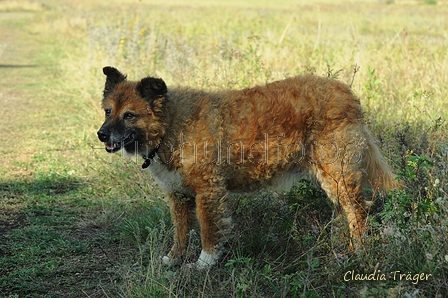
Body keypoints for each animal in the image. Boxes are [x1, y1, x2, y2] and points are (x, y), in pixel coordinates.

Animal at [97, 66, 400, 268]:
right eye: (108, 111)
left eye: (129, 115)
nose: (100, 134)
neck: (171, 124)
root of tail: (346, 93)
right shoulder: (179, 196)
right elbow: (180, 233)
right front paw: (173, 260)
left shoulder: (209, 193)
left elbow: (209, 232)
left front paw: (204, 264)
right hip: (331, 176)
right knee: (343, 210)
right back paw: (339, 242)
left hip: (339, 173)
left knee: (358, 212)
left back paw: (357, 251)